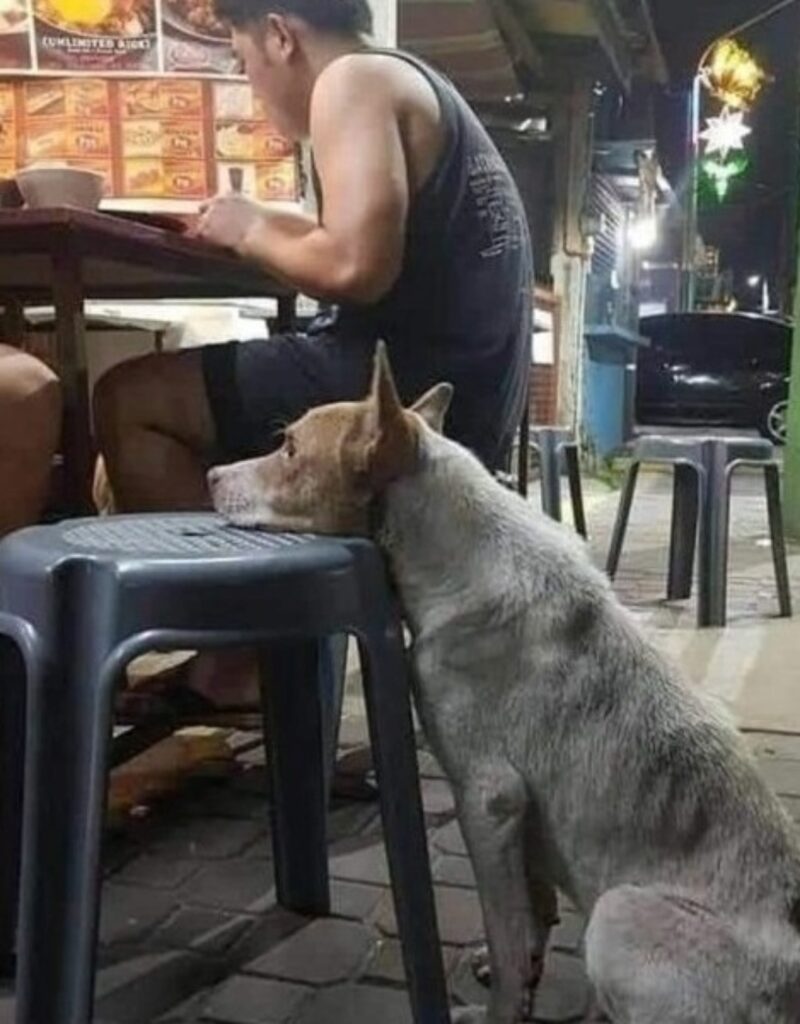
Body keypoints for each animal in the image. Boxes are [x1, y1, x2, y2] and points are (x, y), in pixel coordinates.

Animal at [207, 346, 798, 1024]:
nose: (210, 474)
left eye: (289, 448)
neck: (457, 561)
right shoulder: (519, 823)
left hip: (618, 915)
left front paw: (501, 1005)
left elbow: (507, 932)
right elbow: (530, 916)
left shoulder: (488, 802)